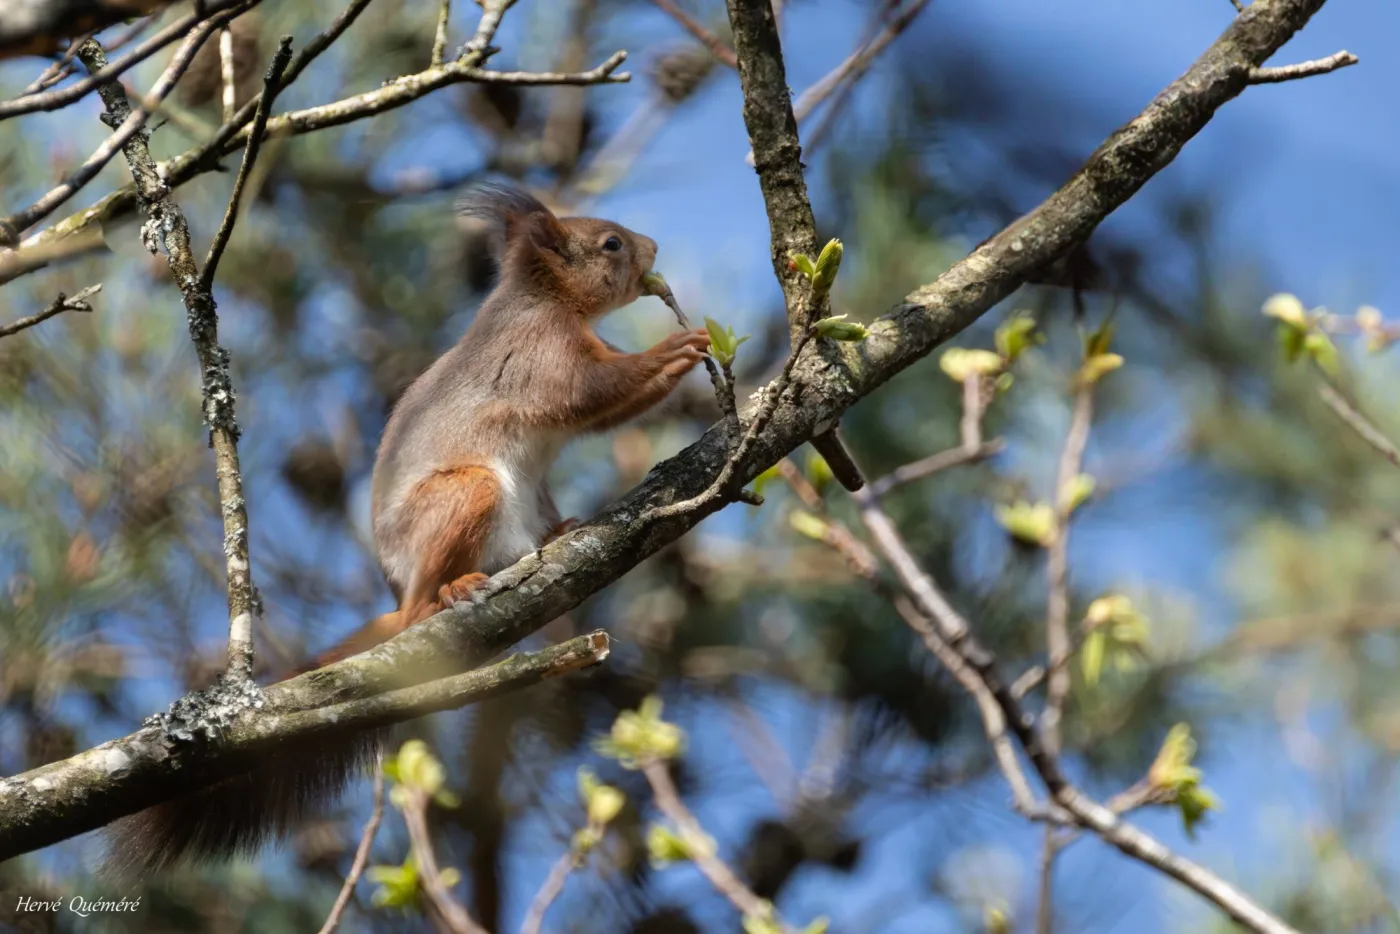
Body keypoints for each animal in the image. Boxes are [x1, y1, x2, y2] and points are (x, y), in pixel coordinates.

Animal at [102, 183, 711, 876]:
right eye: (611, 243)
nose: (653, 248)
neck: (545, 301)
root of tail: (397, 593)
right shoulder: (540, 357)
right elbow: (595, 392)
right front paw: (675, 351)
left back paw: (556, 536)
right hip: (467, 494)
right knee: (424, 602)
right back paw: (448, 595)